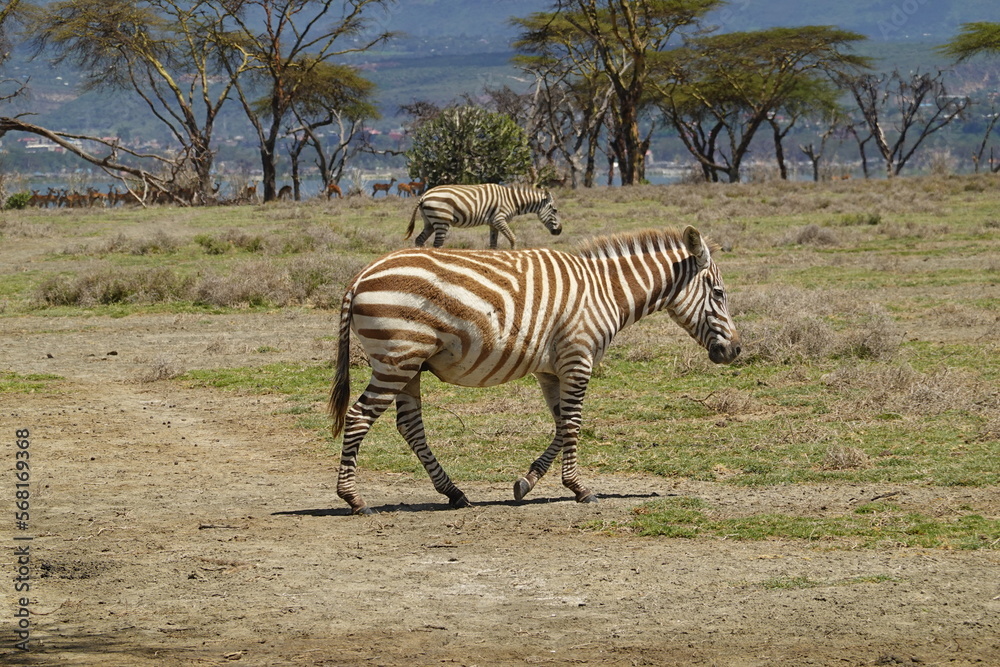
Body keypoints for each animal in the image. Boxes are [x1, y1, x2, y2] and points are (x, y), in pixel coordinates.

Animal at [328, 225, 741, 515]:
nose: (736, 350)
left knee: (410, 426)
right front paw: (579, 489)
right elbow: (573, 423)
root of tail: (362, 274)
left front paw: (526, 482)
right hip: (397, 359)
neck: (605, 292)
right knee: (359, 416)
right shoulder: (578, 357)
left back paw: (454, 493)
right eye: (719, 293)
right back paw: (354, 499)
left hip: (410, 366)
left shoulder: (551, 370)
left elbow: (560, 424)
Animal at [404, 183, 561, 249]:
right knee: (437, 244)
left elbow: (493, 244)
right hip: (441, 220)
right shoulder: (499, 219)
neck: (513, 201)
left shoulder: (493, 223)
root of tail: (424, 195)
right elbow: (513, 238)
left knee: (419, 240)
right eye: (554, 210)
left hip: (429, 222)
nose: (559, 231)